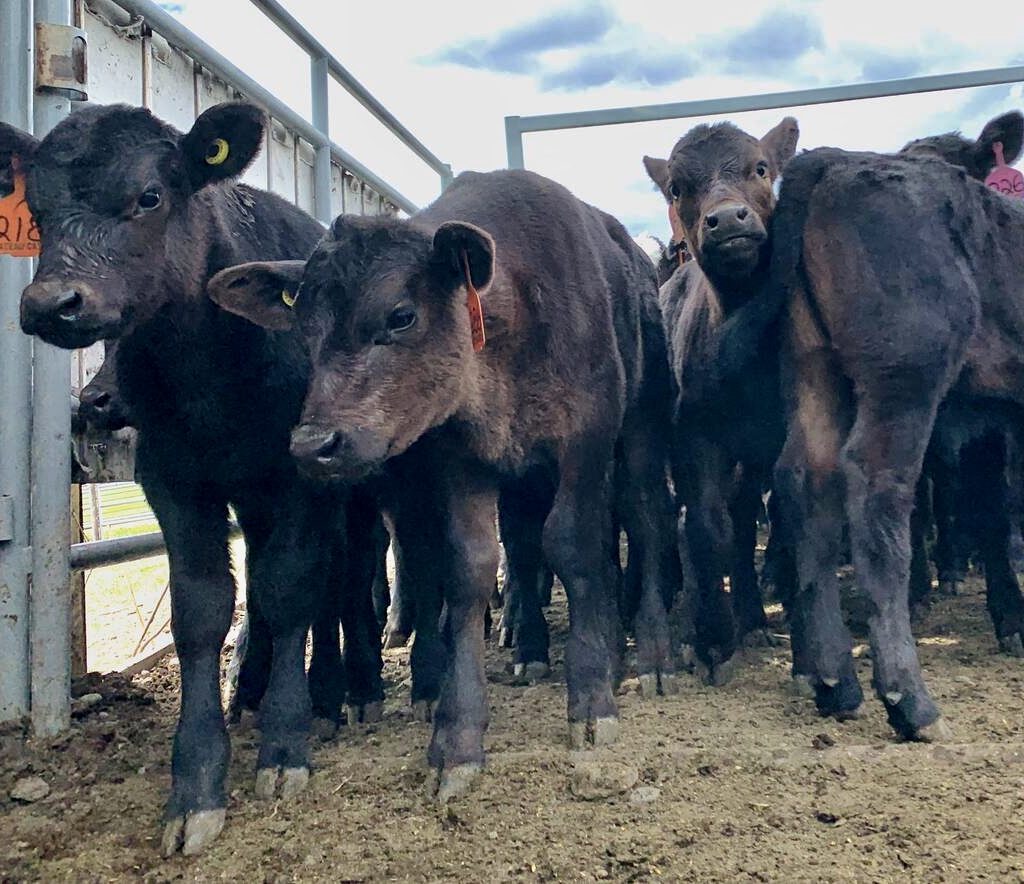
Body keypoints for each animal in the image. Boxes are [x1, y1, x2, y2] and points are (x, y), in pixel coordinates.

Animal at [4, 101, 384, 855]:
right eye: (37, 208)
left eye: (150, 196)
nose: (52, 303)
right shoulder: (174, 480)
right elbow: (204, 608)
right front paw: (198, 779)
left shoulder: (299, 475)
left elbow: (291, 589)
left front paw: (286, 745)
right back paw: (255, 691)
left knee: (340, 580)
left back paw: (339, 692)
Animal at [207, 167, 682, 800]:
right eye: (304, 328)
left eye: (401, 315)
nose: (312, 444)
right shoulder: (463, 458)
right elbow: (467, 571)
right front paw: (457, 735)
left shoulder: (586, 438)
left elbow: (574, 548)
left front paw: (591, 698)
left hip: (642, 431)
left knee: (647, 518)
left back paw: (651, 653)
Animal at [642, 117, 800, 685]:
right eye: (677, 188)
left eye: (761, 168)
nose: (727, 218)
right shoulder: (696, 435)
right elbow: (709, 526)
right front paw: (711, 639)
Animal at [766, 114, 1024, 740]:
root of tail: (833, 160)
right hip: (906, 373)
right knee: (878, 491)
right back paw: (910, 700)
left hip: (814, 367)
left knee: (807, 480)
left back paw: (835, 682)